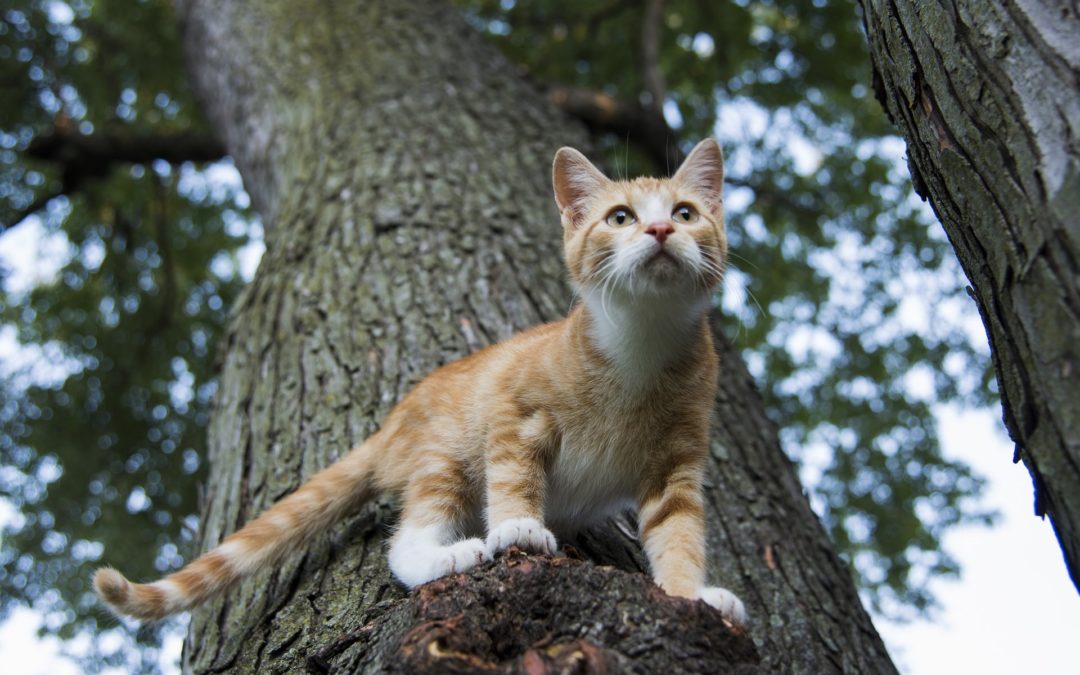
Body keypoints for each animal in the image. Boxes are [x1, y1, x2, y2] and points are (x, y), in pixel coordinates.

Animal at [92, 138, 747, 626]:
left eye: (685, 212)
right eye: (621, 217)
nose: (660, 231)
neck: (638, 345)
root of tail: (392, 423)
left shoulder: (676, 464)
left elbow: (679, 532)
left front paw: (690, 594)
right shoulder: (512, 409)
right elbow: (513, 473)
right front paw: (516, 523)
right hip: (444, 456)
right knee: (406, 542)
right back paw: (449, 554)